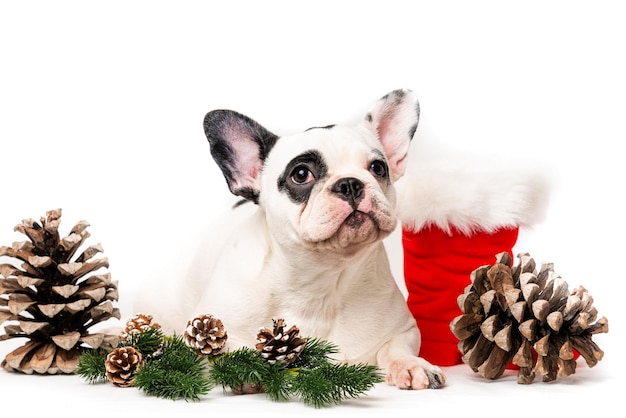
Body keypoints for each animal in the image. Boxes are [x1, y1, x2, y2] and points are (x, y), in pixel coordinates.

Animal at [136, 90, 444, 390]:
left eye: (378, 168)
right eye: (301, 174)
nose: (349, 183)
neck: (320, 280)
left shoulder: (404, 329)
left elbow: (396, 348)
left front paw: (412, 365)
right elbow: (227, 349)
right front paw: (246, 368)